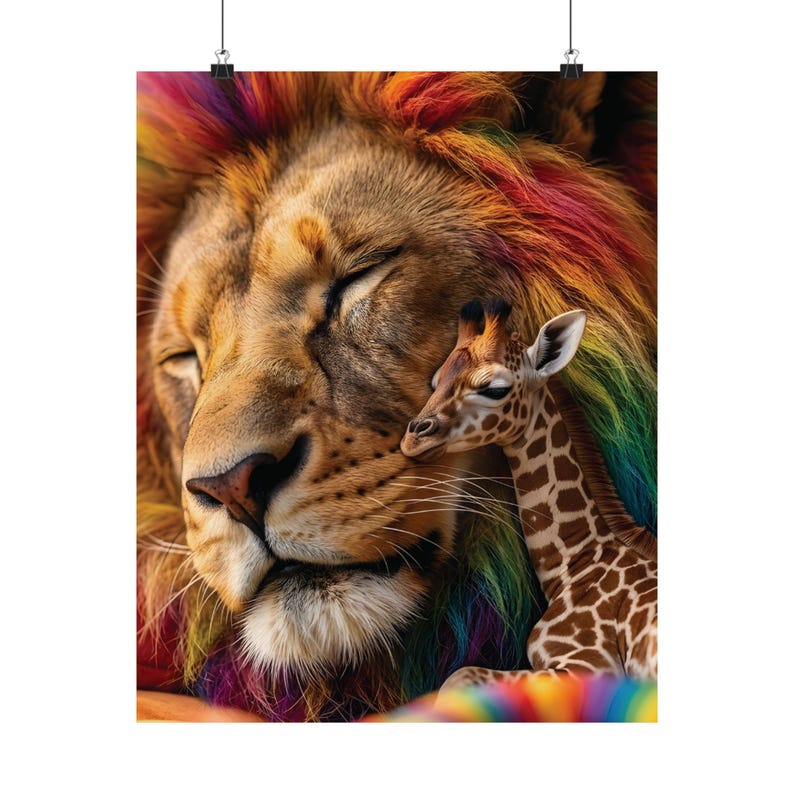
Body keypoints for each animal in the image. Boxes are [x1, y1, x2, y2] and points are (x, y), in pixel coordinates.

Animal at [401, 298, 657, 689]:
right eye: (436, 381)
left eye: (494, 389)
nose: (413, 437)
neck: (576, 563)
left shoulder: (591, 665)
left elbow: (458, 675)